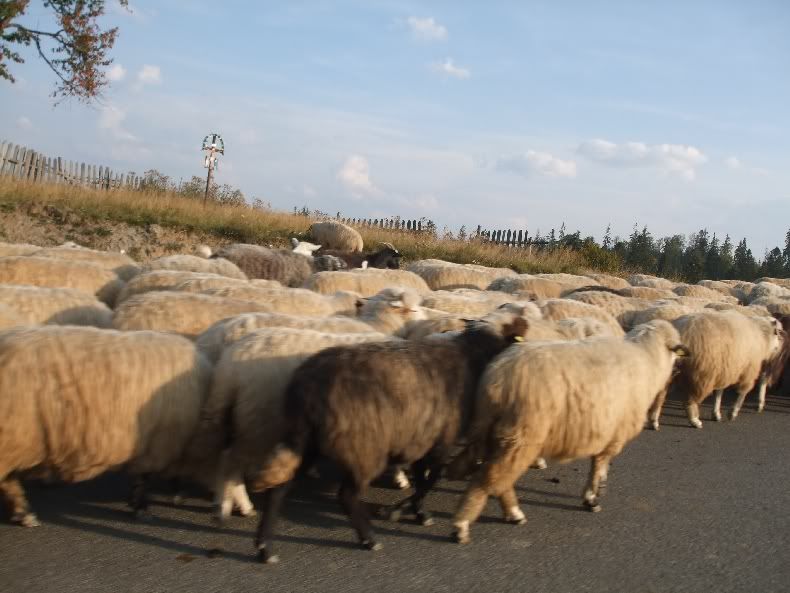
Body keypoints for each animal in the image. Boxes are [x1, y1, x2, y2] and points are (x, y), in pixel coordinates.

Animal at [0, 326, 213, 524]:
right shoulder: (160, 442)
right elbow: (144, 477)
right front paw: (142, 507)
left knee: (8, 481)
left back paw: (23, 513)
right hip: (12, 440)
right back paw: (24, 513)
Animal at [251, 308, 528, 560]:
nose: (525, 321)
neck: (472, 355)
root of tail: (306, 388)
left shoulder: (423, 438)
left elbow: (422, 477)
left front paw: (418, 512)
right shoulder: (442, 441)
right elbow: (430, 480)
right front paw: (400, 511)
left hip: (305, 441)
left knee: (279, 489)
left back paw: (265, 547)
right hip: (363, 447)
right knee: (346, 496)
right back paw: (368, 538)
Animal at [448, 320, 688, 540]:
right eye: (676, 352)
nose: (678, 371)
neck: (648, 359)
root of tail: (494, 378)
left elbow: (598, 465)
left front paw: (595, 491)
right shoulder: (614, 435)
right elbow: (599, 465)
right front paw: (591, 498)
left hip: (498, 434)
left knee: (497, 477)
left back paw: (513, 514)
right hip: (522, 435)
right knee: (490, 476)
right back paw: (462, 525)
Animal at [652, 308, 788, 428]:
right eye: (778, 333)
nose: (779, 349)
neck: (761, 335)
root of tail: (680, 332)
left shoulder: (724, 368)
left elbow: (719, 392)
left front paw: (716, 413)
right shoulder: (749, 369)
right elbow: (743, 392)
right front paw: (732, 412)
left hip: (671, 370)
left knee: (660, 395)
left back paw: (654, 421)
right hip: (701, 372)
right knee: (690, 400)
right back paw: (694, 420)